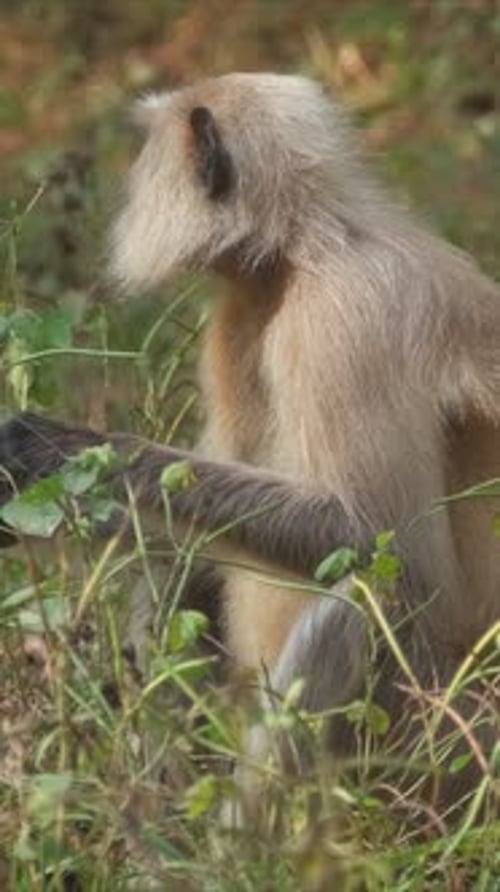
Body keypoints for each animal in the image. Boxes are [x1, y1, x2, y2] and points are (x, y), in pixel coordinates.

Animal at [0, 73, 499, 816]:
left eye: (147, 152)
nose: (129, 191)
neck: (303, 250)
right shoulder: (240, 312)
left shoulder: (345, 318)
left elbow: (388, 543)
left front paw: (59, 450)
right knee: (182, 565)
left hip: (438, 741)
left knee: (358, 597)